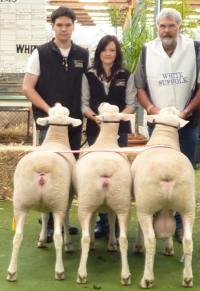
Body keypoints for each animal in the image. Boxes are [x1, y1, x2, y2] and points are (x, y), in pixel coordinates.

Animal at [6, 103, 81, 282]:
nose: (58, 104)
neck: (55, 139)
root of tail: (42, 165)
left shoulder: (47, 203)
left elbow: (44, 217)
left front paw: (41, 240)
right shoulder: (66, 200)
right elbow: (63, 221)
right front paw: (68, 244)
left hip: (20, 203)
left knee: (17, 237)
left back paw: (11, 272)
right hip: (58, 201)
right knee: (58, 237)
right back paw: (59, 271)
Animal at [73, 102, 133, 286]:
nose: (102, 103)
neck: (106, 140)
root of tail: (106, 169)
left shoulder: (91, 206)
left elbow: (93, 221)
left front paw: (95, 241)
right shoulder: (113, 207)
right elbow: (112, 220)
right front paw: (112, 243)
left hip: (85, 203)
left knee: (84, 238)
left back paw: (82, 274)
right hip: (123, 203)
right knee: (124, 239)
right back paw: (125, 275)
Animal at [131, 108, 195, 290]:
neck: (165, 137)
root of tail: (167, 170)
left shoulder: (141, 204)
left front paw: (138, 247)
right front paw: (169, 247)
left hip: (145, 206)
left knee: (151, 240)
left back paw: (147, 279)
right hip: (188, 207)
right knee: (188, 241)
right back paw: (187, 278)